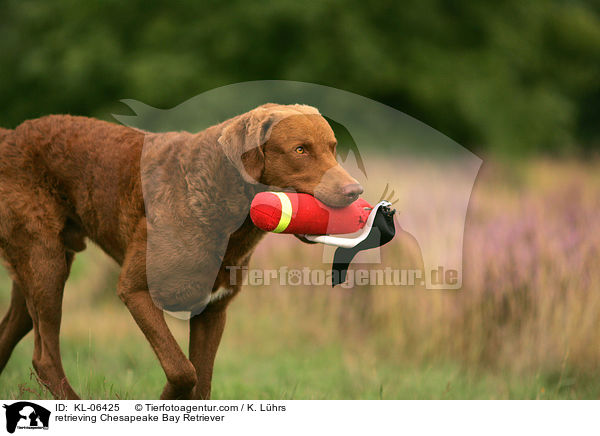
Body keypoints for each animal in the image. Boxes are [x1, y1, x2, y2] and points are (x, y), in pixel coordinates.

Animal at [0, 102, 360, 398]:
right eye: (300, 150)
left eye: (333, 148)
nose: (355, 191)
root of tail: (10, 135)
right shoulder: (135, 291)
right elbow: (183, 370)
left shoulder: (213, 311)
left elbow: (202, 382)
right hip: (46, 264)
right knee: (45, 359)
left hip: (36, 272)